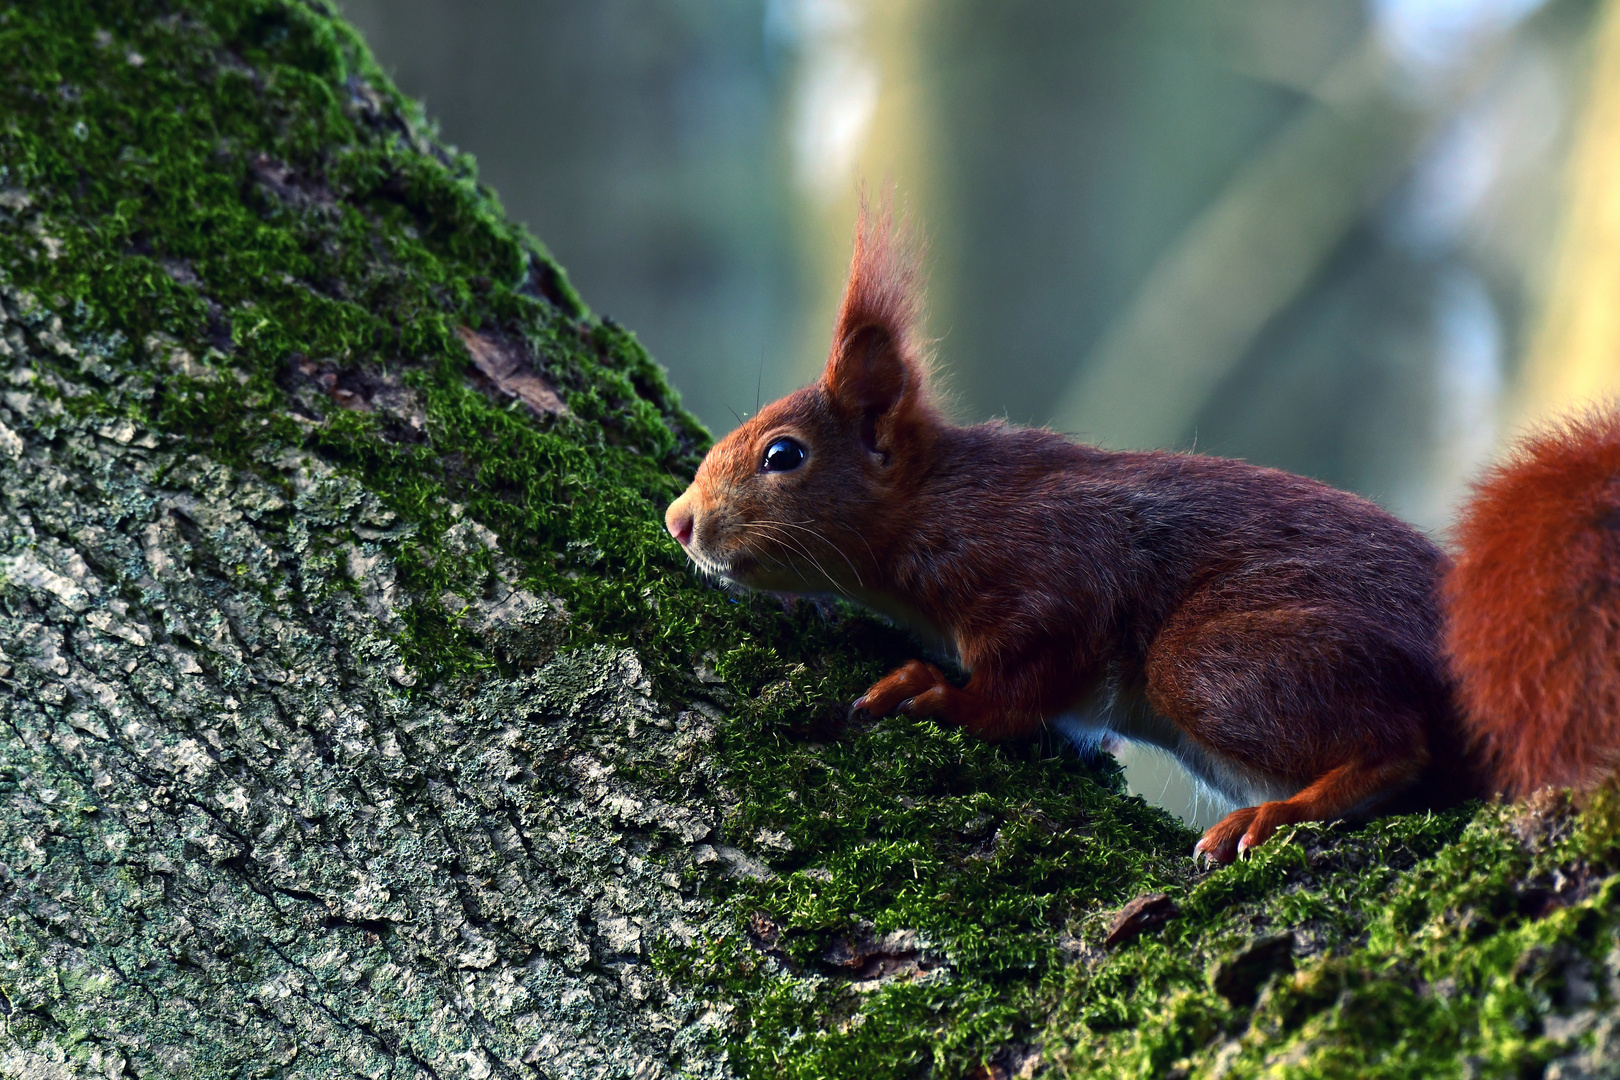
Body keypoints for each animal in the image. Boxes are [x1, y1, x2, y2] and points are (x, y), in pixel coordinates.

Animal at [664, 207, 1620, 867]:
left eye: (783, 455)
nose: (679, 522)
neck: (939, 501)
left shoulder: (1045, 569)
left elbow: (1018, 684)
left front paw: (929, 691)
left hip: (1215, 659)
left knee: (1398, 748)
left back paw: (1279, 813)